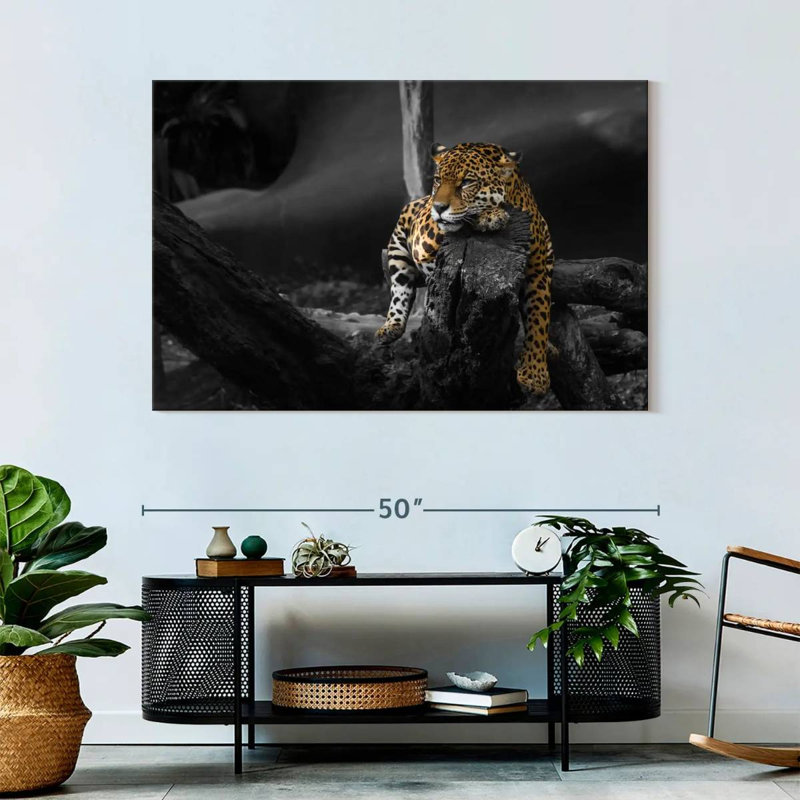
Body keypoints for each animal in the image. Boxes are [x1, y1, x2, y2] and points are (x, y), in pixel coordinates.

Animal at [375, 142, 554, 395]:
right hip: (400, 245)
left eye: (467, 182)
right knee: (400, 288)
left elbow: (539, 316)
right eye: (438, 180)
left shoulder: (537, 269)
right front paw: (491, 215)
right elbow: (459, 223)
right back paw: (391, 326)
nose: (438, 207)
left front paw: (535, 375)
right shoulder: (425, 234)